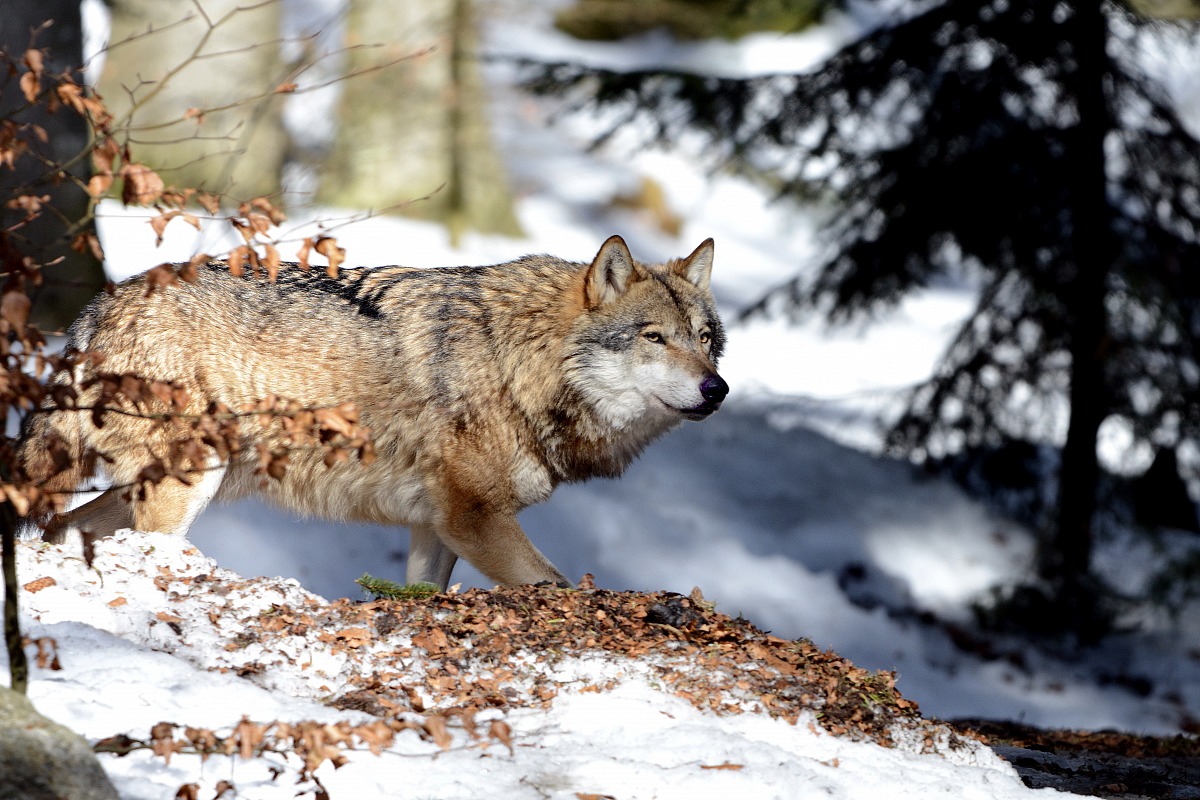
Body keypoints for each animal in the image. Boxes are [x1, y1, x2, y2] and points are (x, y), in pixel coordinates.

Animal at [20, 236, 728, 589]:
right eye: (654, 338)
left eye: (704, 338)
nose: (717, 389)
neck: (514, 359)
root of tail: (101, 305)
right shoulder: (475, 518)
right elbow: (557, 585)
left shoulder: (436, 527)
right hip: (191, 482)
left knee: (61, 528)